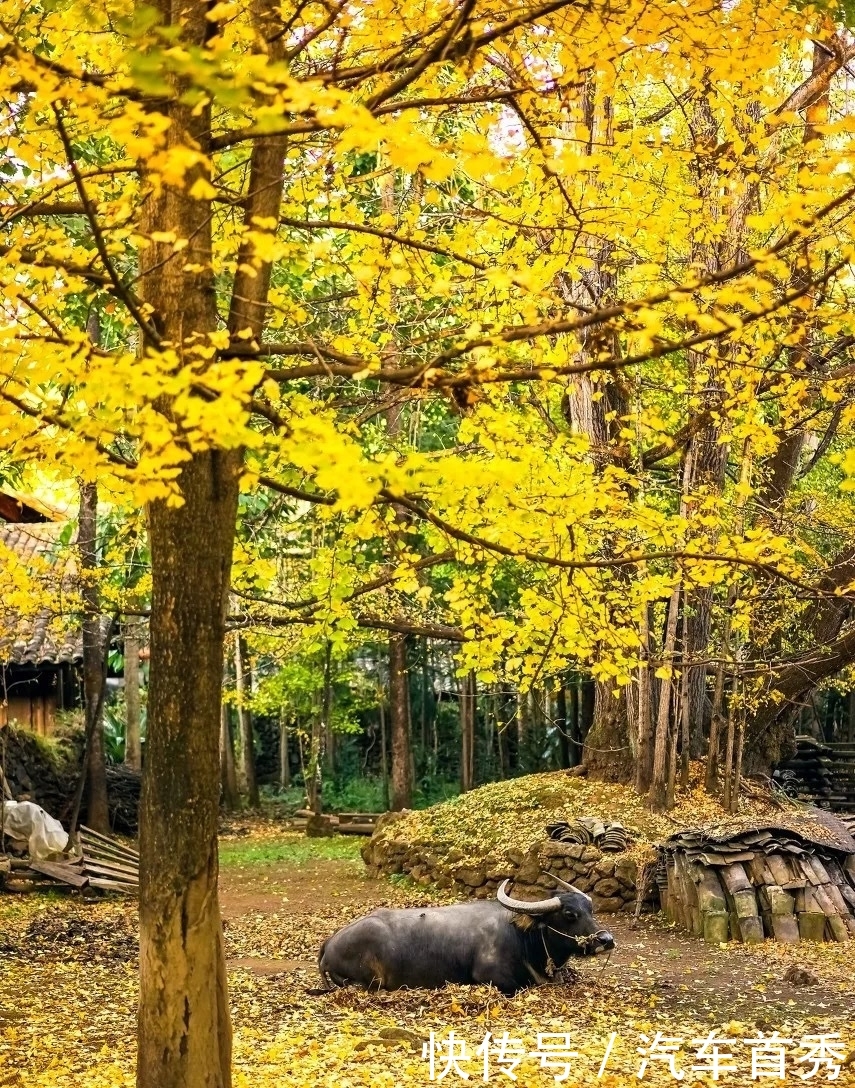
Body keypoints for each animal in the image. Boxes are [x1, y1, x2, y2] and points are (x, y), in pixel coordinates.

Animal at [315, 874, 609, 996]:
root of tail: (329, 943)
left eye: (590, 909)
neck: (520, 938)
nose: (606, 939)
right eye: (569, 914)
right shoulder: (492, 978)